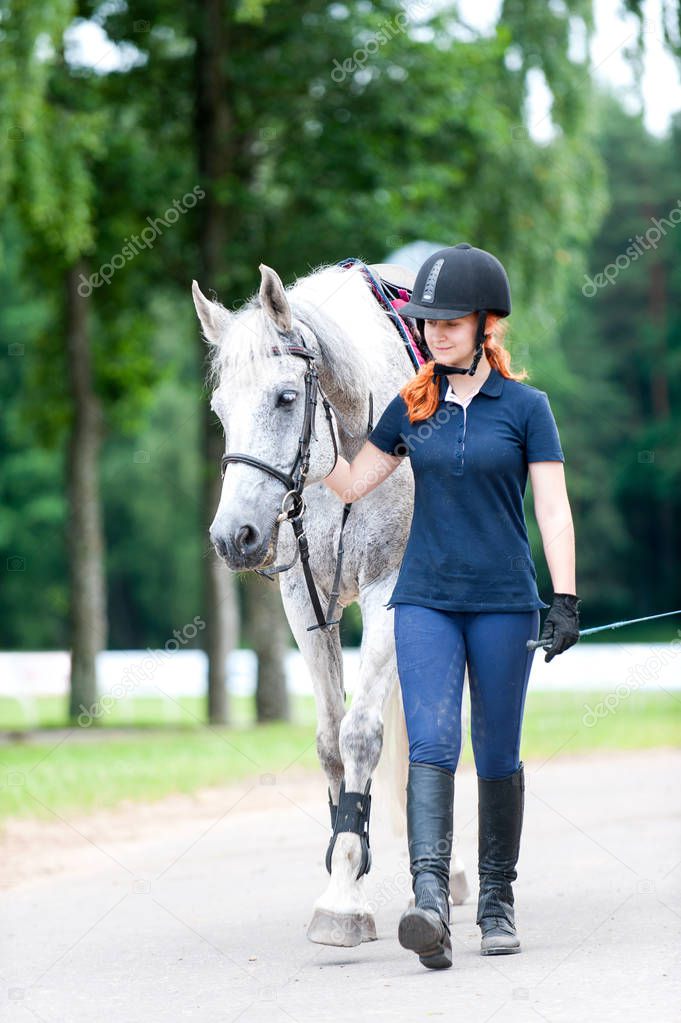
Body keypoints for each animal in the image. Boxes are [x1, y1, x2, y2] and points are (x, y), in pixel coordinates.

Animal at [191, 259, 466, 945]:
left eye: (286, 397)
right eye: (219, 409)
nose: (233, 536)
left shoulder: (390, 591)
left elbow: (361, 734)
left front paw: (344, 894)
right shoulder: (304, 602)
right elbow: (329, 739)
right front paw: (348, 866)